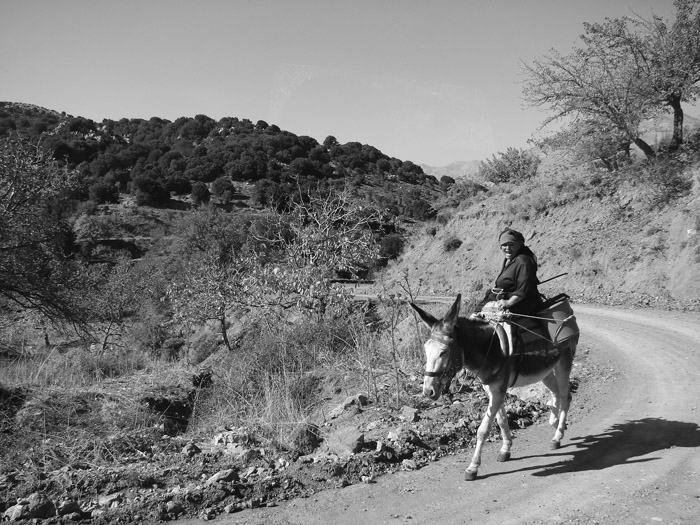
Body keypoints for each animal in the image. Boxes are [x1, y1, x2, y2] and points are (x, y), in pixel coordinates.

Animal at [410, 294, 578, 481]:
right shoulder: (492, 390)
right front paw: (505, 449)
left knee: (565, 397)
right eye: (426, 350)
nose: (428, 391)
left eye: (444, 352)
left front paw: (473, 467)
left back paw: (557, 436)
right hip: (546, 370)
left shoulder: (498, 391)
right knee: (556, 394)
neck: (490, 349)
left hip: (563, 363)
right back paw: (555, 424)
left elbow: (483, 430)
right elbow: (502, 420)